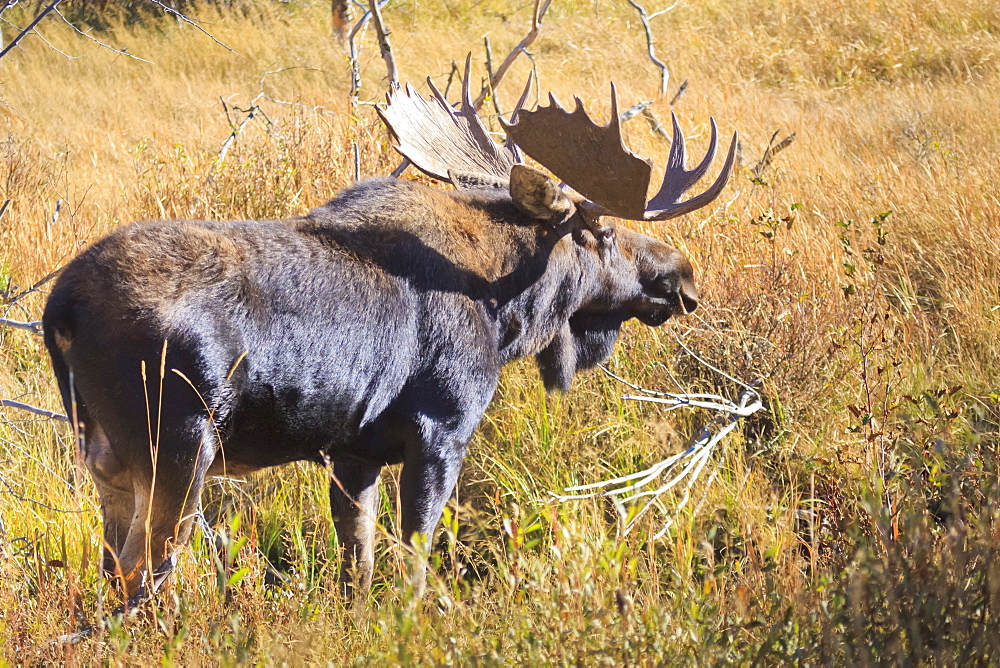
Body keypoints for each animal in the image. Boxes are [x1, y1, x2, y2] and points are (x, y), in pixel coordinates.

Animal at [43, 66, 740, 604]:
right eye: (605, 234)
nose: (682, 276)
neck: (507, 315)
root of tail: (61, 308)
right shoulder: (440, 429)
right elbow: (414, 558)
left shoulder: (353, 450)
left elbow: (358, 563)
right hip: (179, 443)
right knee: (144, 570)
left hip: (102, 451)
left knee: (112, 566)